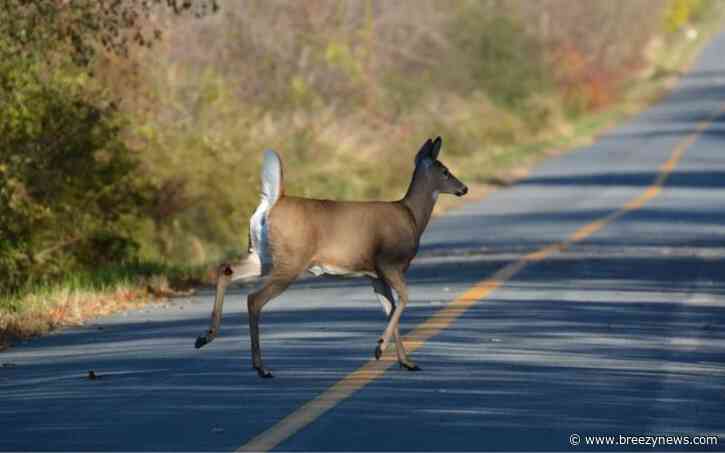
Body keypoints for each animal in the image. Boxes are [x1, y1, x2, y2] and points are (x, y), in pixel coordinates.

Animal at [194, 137, 468, 378]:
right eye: (445, 171)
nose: (463, 188)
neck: (411, 216)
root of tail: (273, 202)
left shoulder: (374, 275)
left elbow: (390, 308)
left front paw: (406, 362)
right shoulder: (390, 262)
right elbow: (404, 300)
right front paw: (380, 348)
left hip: (262, 256)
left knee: (226, 270)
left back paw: (205, 337)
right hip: (291, 260)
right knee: (254, 299)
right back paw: (261, 368)